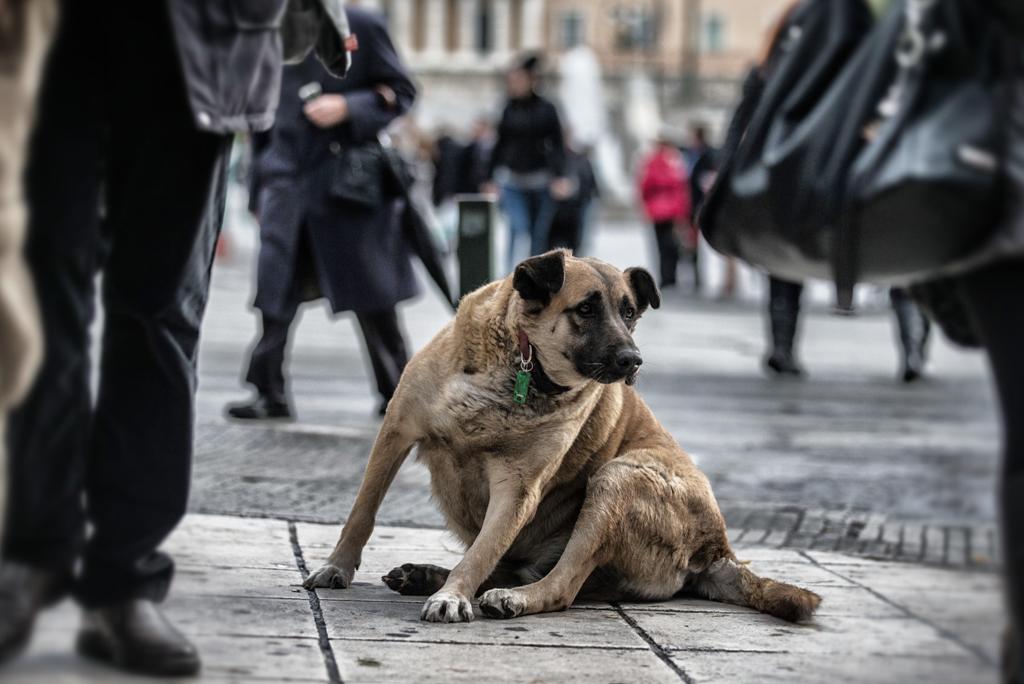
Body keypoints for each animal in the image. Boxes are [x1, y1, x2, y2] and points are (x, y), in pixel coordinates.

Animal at [305, 252, 823, 626]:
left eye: (629, 313)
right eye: (586, 309)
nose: (633, 361)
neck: (519, 366)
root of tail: (718, 547)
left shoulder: (518, 489)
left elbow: (482, 551)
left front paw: (453, 596)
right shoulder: (396, 430)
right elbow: (363, 512)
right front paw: (337, 566)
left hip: (618, 478)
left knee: (561, 586)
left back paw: (505, 596)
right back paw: (426, 576)